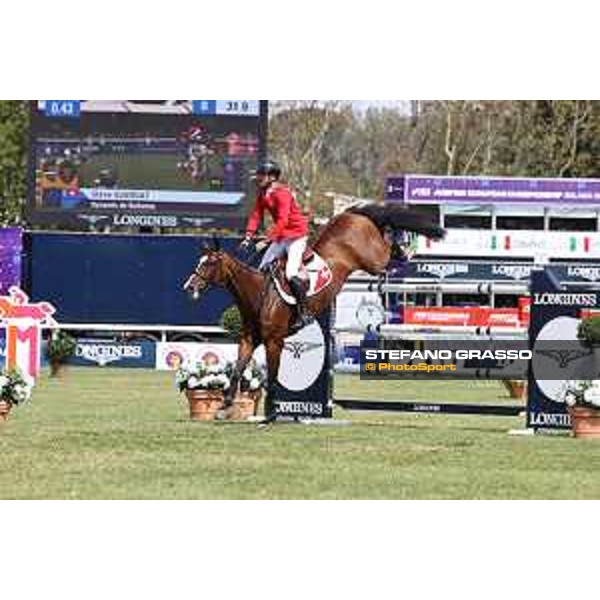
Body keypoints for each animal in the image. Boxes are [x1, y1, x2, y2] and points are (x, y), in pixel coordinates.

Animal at [184, 205, 446, 422]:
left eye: (209, 264)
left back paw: (405, 248)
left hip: (372, 260)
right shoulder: (249, 339)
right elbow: (238, 369)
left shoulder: (274, 342)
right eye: (199, 261)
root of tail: (350, 213)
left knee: (387, 245)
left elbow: (273, 375)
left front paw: (270, 414)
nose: (188, 286)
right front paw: (224, 406)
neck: (259, 295)